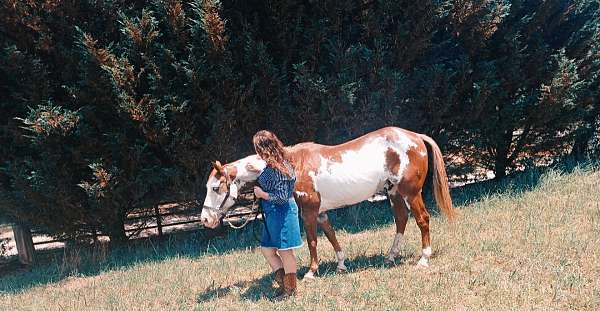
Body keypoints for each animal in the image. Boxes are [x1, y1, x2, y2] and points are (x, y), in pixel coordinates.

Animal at [199, 127, 458, 280]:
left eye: (216, 188)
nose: (205, 219)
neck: (291, 164)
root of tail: (415, 137)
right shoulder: (321, 212)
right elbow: (332, 236)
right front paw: (341, 265)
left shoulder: (309, 211)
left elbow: (312, 241)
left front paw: (311, 273)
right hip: (393, 193)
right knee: (401, 220)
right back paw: (390, 257)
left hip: (411, 193)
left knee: (422, 220)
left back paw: (423, 259)